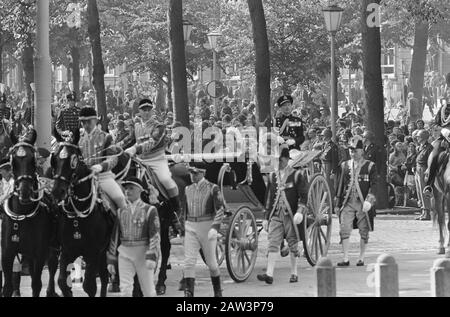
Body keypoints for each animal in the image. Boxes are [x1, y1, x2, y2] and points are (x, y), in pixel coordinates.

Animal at [0, 129, 59, 296]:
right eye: (14, 161)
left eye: (33, 160)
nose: (24, 192)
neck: (23, 215)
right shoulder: (7, 254)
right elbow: (7, 287)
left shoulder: (40, 253)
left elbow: (36, 284)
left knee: (52, 265)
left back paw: (51, 290)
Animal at [50, 129, 110, 296]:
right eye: (54, 158)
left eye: (74, 160)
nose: (58, 191)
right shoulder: (67, 250)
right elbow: (62, 282)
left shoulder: (93, 252)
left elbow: (89, 285)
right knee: (104, 277)